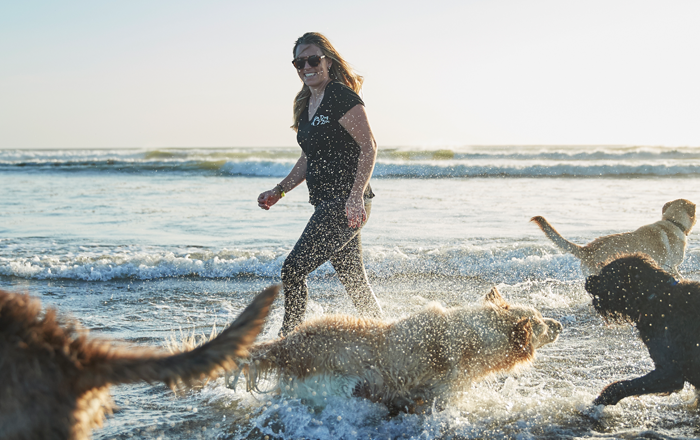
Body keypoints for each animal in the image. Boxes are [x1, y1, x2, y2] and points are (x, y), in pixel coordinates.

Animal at [235, 288, 564, 414]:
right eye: (539, 324)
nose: (559, 324)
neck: (476, 339)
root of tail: (287, 343)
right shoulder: (443, 389)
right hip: (334, 386)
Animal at [584, 253, 700, 408]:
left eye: (606, 273)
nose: (588, 279)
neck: (654, 299)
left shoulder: (670, 372)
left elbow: (623, 385)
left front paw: (603, 398)